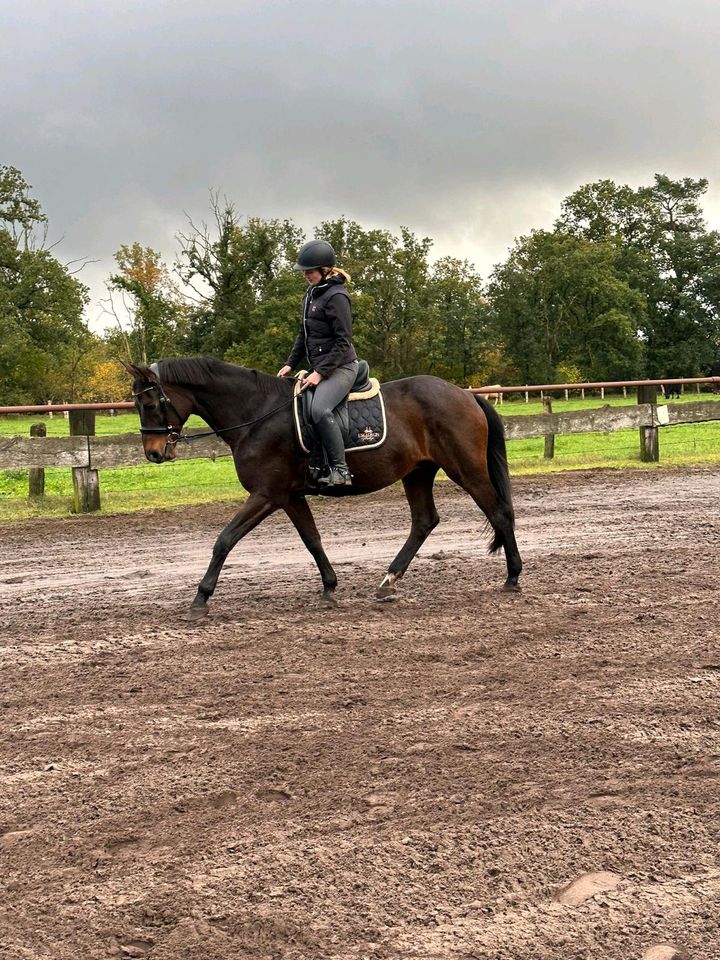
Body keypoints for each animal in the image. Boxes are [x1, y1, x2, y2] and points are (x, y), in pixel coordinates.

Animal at [126, 356, 520, 620]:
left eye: (149, 403)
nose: (153, 453)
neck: (257, 415)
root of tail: (466, 395)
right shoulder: (289, 496)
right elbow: (311, 539)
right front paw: (329, 588)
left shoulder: (267, 494)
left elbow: (225, 540)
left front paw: (200, 599)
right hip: (418, 472)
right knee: (424, 521)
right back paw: (387, 582)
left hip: (465, 468)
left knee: (498, 511)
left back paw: (513, 577)